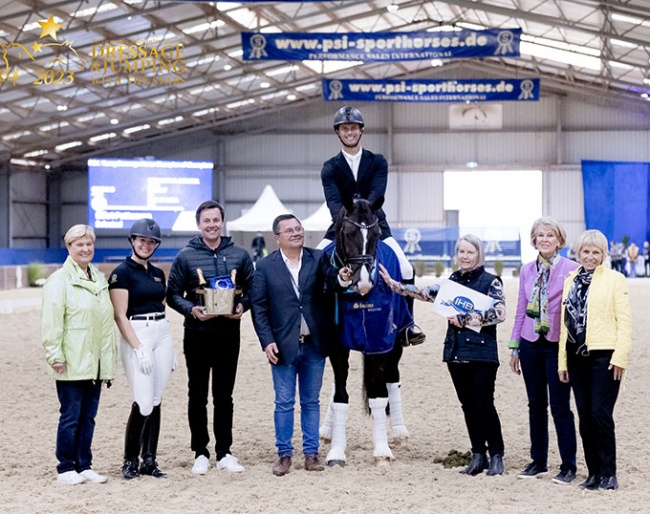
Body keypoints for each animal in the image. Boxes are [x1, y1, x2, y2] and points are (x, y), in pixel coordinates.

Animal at [318, 195, 410, 464]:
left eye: (377, 233)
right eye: (348, 233)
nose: (364, 282)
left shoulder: (379, 343)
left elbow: (379, 396)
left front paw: (382, 451)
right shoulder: (336, 346)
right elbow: (340, 396)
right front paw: (336, 452)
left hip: (396, 343)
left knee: (392, 378)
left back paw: (399, 430)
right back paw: (326, 430)